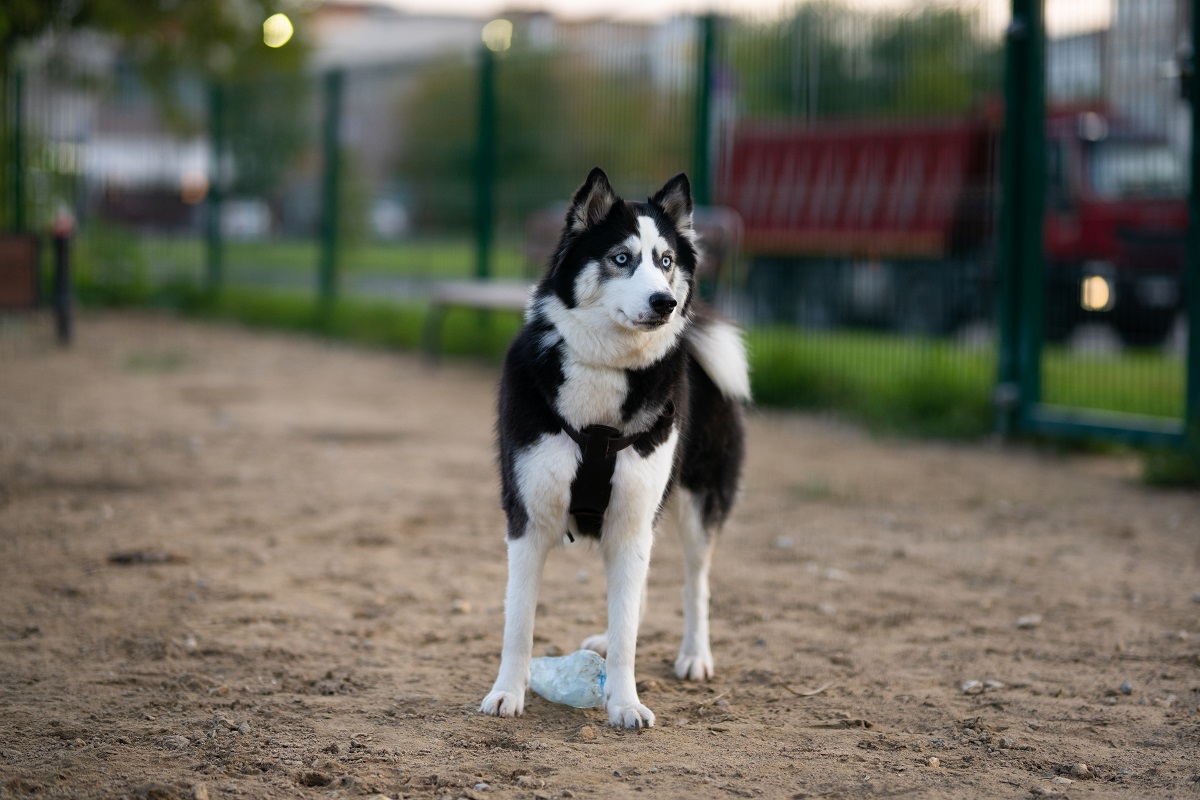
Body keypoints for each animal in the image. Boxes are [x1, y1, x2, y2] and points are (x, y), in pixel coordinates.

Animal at [480, 169, 748, 734]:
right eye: (621, 258)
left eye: (665, 261)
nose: (665, 302)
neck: (604, 373)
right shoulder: (527, 521)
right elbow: (519, 623)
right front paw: (507, 693)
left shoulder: (631, 520)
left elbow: (628, 632)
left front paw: (624, 703)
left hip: (695, 504)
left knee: (696, 582)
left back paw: (695, 655)